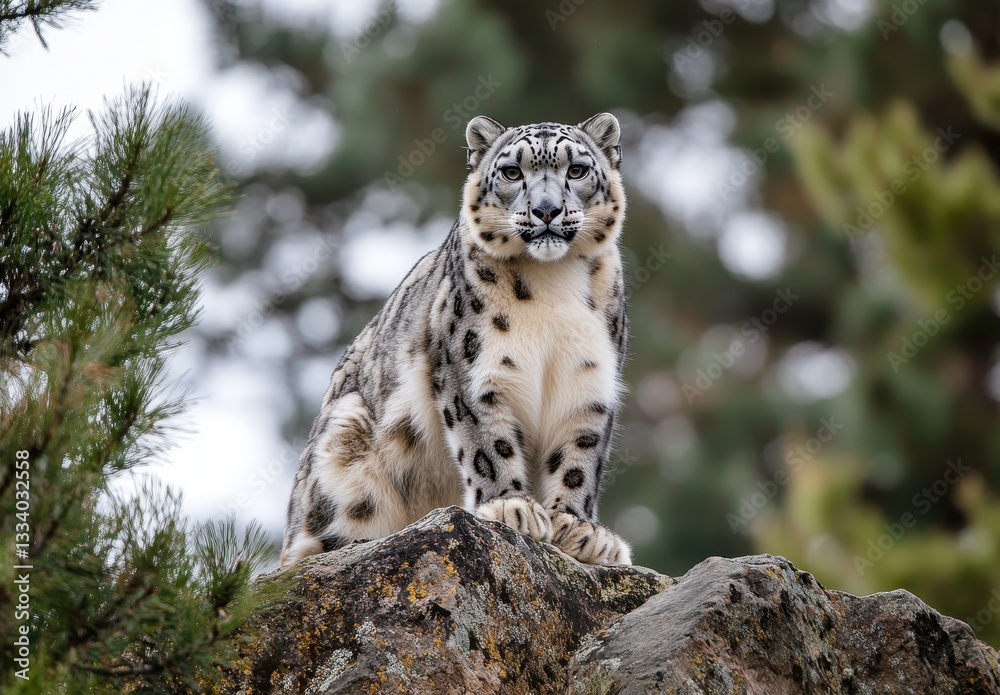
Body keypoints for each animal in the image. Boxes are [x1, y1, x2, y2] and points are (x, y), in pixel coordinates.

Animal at [280, 112, 632, 568]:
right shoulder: (472, 371)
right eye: (512, 172)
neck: (552, 283)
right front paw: (511, 508)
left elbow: (579, 456)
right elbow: (488, 443)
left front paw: (580, 531)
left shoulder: (588, 379)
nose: (546, 210)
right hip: (343, 443)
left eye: (577, 170)